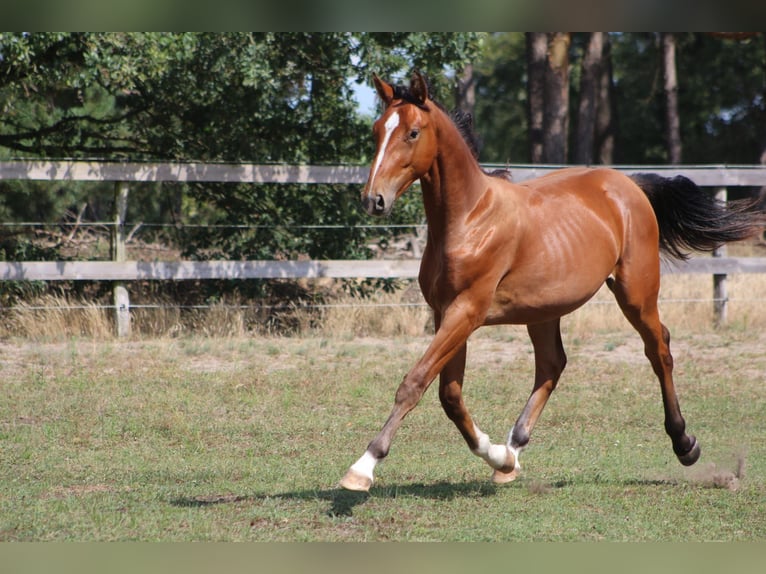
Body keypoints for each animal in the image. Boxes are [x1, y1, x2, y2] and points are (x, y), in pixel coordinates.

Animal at [340, 73, 760, 496]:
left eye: (412, 133)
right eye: (377, 130)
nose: (373, 200)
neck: (469, 219)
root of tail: (627, 183)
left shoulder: (467, 311)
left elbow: (415, 382)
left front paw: (362, 467)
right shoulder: (447, 312)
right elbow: (449, 395)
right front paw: (498, 455)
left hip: (636, 294)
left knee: (659, 350)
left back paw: (685, 444)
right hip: (543, 310)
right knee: (552, 364)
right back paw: (513, 451)